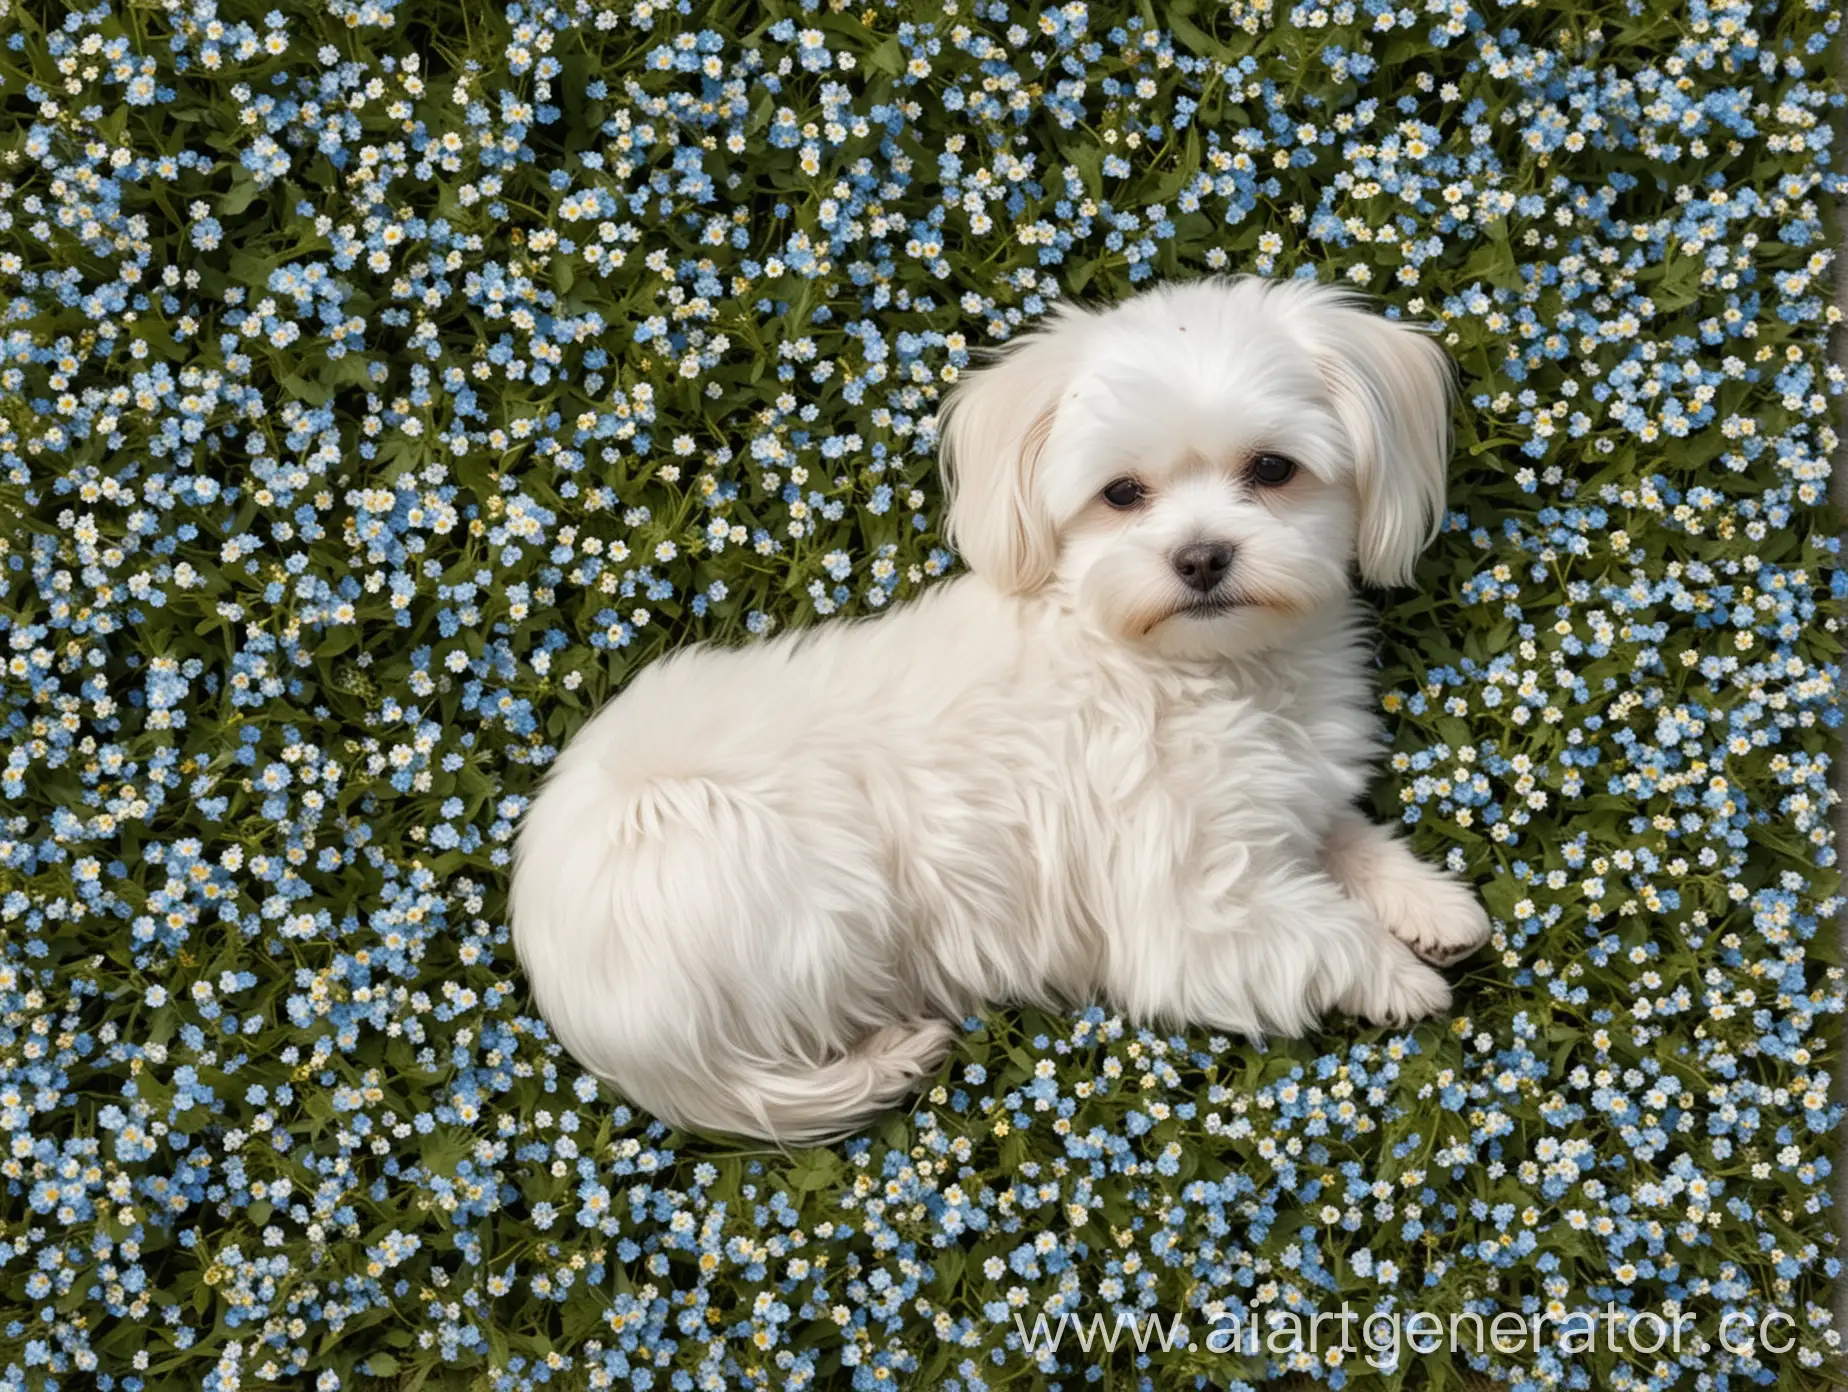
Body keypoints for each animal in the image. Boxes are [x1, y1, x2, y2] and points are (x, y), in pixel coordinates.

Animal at [513, 273, 1493, 1138]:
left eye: (1272, 468)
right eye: (1122, 493)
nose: (1201, 557)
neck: (1200, 670)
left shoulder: (1282, 798)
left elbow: (1341, 837)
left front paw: (1426, 903)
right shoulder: (1190, 915)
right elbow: (1320, 931)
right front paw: (1399, 976)